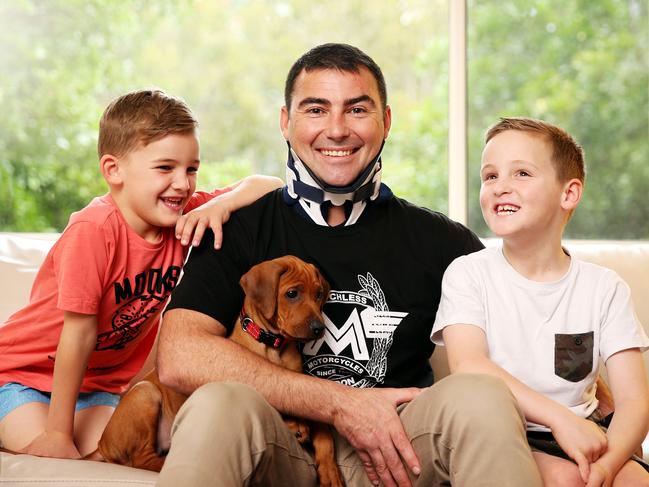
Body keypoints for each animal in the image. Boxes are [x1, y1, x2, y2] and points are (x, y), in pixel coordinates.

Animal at [95, 255, 344, 487]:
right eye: (292, 294)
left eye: (319, 295)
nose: (319, 328)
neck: (275, 345)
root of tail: (101, 444)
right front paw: (295, 424)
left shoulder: (304, 386)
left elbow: (323, 431)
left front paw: (330, 471)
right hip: (145, 392)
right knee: (141, 459)